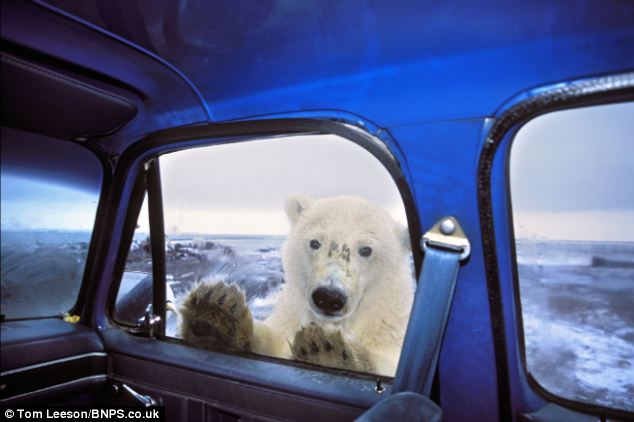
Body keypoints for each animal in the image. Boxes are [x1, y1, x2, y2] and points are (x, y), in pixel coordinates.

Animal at [179, 195, 414, 376]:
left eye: (366, 250)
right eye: (314, 243)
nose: (328, 297)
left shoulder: (390, 331)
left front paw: (326, 350)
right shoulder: (289, 315)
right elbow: (271, 342)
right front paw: (215, 314)